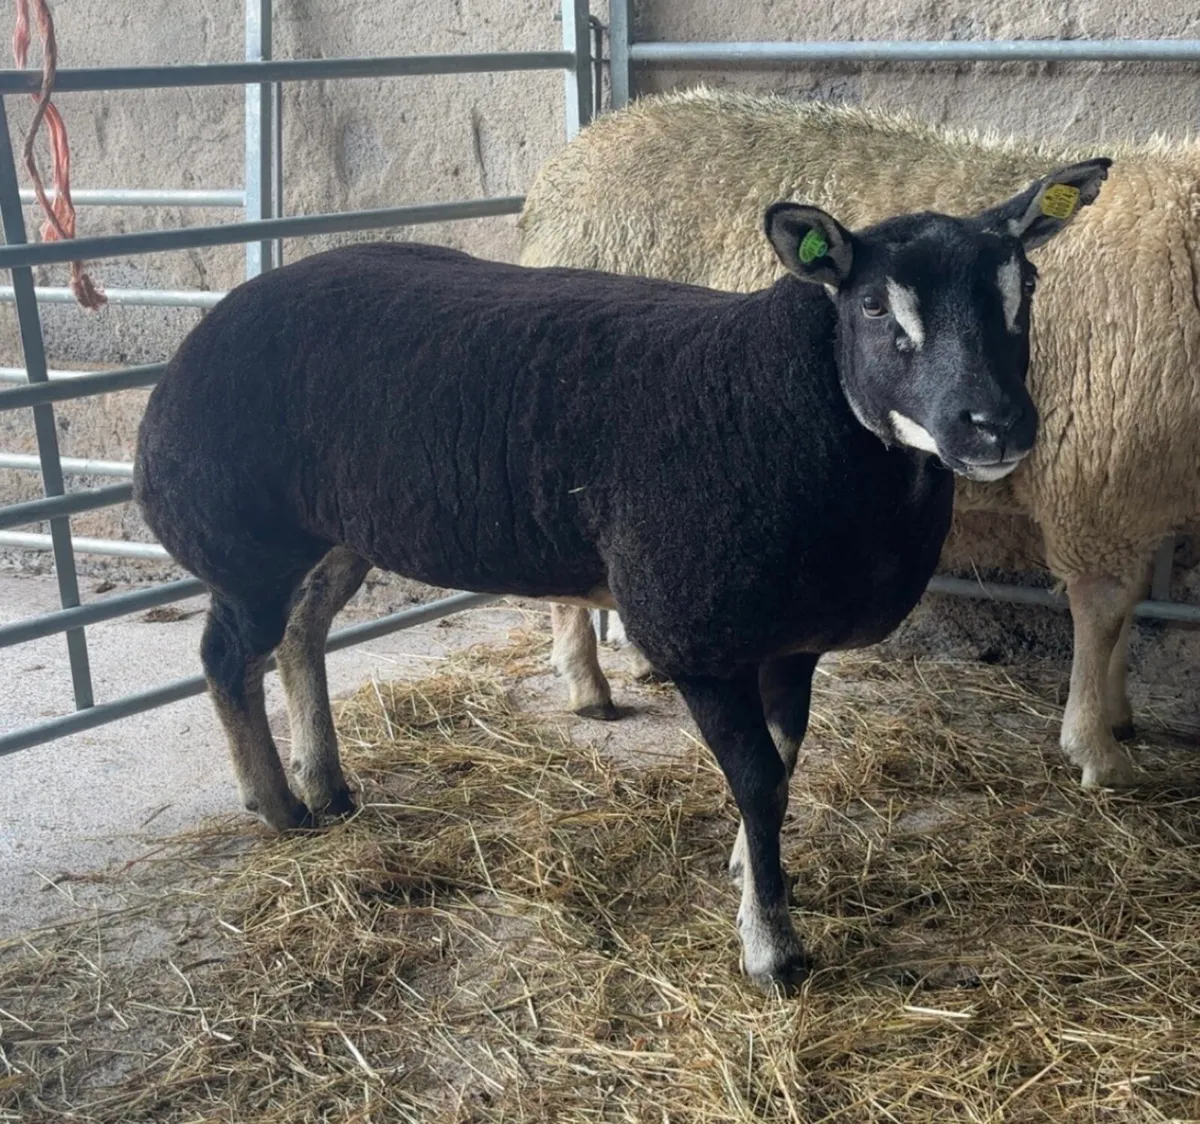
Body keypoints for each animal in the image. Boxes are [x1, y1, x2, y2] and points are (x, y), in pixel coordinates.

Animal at [133, 163, 1106, 990]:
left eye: (1026, 290)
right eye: (873, 306)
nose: (995, 425)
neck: (783, 401)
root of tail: (213, 323)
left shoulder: (791, 638)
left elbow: (785, 758)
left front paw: (748, 867)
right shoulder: (697, 635)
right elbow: (759, 778)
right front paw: (771, 947)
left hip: (336, 533)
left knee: (301, 635)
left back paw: (326, 785)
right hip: (244, 537)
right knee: (227, 654)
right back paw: (276, 803)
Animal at [518, 87, 1194, 791]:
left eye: (1029, 285)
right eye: (873, 305)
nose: (997, 426)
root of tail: (581, 149)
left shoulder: (1144, 486)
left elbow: (1131, 607)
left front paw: (1117, 714)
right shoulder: (1103, 487)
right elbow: (1104, 612)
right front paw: (1097, 747)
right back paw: (586, 685)